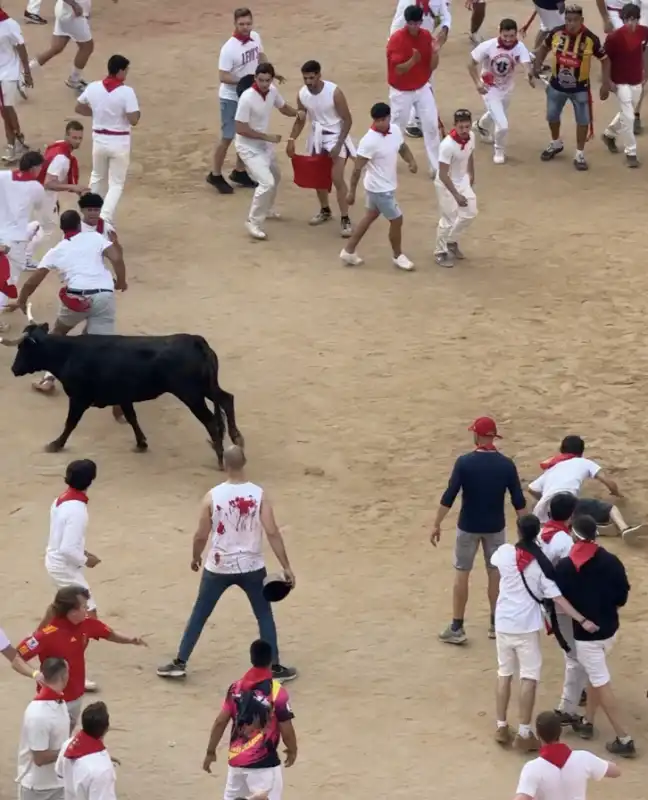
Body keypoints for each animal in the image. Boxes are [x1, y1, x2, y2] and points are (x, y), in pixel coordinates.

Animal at [1, 320, 244, 468]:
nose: (14, 369)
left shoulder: (79, 398)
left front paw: (55, 444)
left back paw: (221, 459)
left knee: (211, 421)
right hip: (206, 388)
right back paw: (237, 439)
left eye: (23, 348)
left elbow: (70, 423)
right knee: (227, 399)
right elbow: (132, 417)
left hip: (190, 394)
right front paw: (141, 444)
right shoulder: (124, 397)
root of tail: (196, 340)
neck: (68, 353)